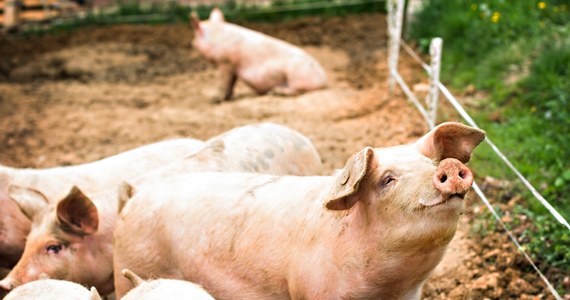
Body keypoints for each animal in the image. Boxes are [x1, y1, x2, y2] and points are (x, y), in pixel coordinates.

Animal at [111, 122, 484, 300]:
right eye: (387, 180)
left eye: (430, 164)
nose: (450, 166)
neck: (388, 287)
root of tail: (134, 197)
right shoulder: (312, 290)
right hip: (131, 266)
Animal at [190, 7, 324, 103]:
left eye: (195, 36)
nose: (192, 43)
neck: (216, 37)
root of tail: (324, 80)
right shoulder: (234, 65)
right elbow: (231, 82)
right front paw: (229, 98)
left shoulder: (225, 61)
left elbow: (224, 81)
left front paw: (213, 100)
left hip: (296, 75)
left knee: (297, 90)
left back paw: (275, 92)